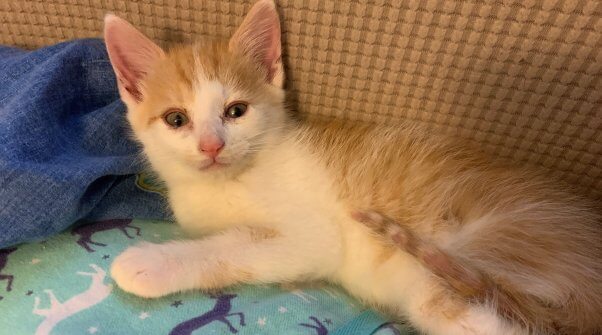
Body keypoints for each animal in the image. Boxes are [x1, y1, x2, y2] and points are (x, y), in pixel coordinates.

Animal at [104, 1, 600, 334]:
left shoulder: (314, 237)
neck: (231, 181)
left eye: (236, 111)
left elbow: (234, 248)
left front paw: (150, 264)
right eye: (176, 120)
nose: (211, 145)